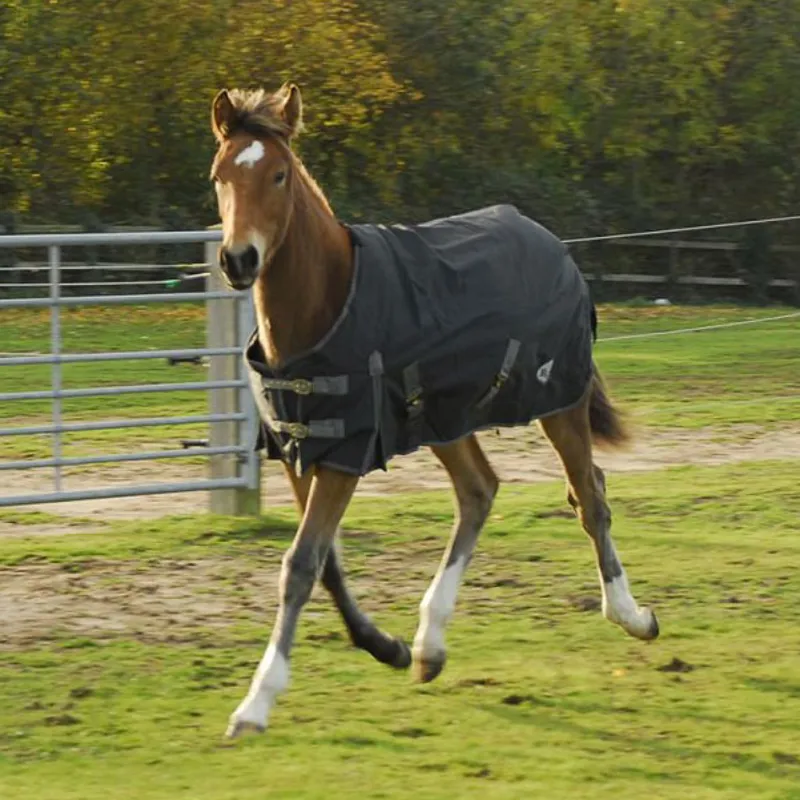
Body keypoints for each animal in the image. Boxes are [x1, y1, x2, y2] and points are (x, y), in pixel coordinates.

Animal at [209, 83, 659, 739]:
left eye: (279, 174)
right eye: (219, 174)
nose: (238, 259)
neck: (326, 303)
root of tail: (555, 247)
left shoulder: (345, 454)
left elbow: (300, 564)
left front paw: (255, 703)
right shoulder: (301, 449)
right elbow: (325, 563)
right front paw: (387, 647)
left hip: (560, 402)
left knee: (590, 494)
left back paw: (631, 615)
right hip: (445, 418)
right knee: (480, 490)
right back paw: (428, 646)